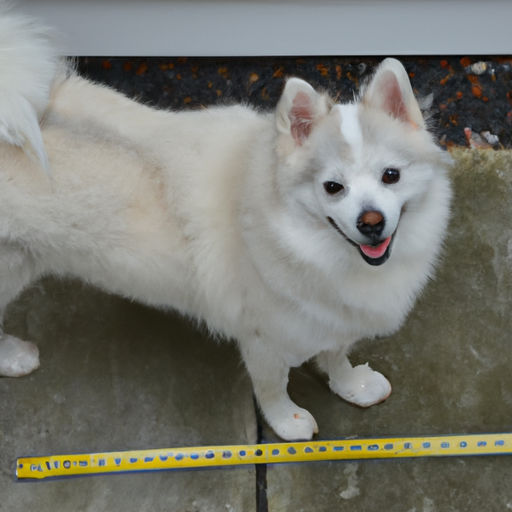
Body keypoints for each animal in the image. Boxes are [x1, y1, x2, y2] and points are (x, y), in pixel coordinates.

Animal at [0, 9, 450, 440]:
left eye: (391, 175)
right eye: (333, 187)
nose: (371, 222)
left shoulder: (329, 318)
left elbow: (336, 355)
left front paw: (352, 386)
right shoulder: (263, 341)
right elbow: (273, 387)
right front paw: (287, 423)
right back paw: (13, 357)